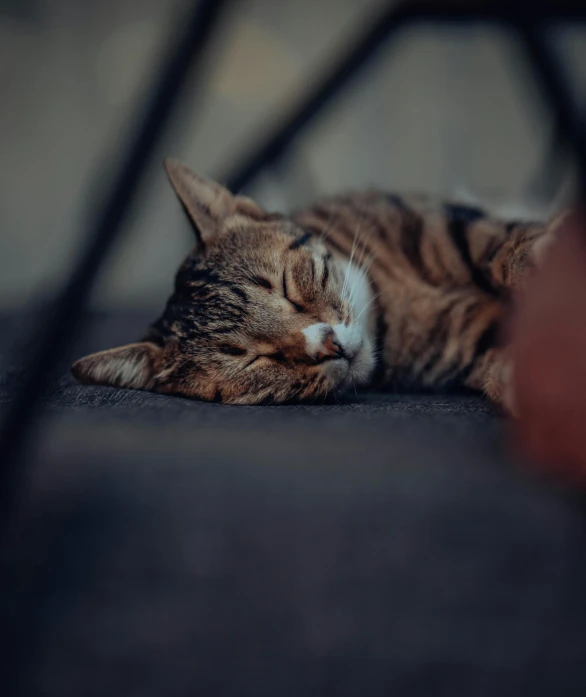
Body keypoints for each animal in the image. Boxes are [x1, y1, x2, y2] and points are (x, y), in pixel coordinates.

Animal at [70, 158, 560, 408]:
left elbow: (507, 249)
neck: (391, 305)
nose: (328, 346)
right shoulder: (467, 343)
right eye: (254, 359)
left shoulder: (449, 222)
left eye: (286, 287)